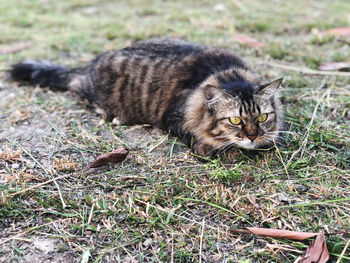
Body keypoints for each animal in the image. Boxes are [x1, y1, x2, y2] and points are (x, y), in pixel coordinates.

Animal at [8, 38, 284, 159]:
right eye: (235, 121)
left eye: (261, 117)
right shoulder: (174, 118)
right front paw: (209, 147)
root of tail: (89, 64)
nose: (253, 136)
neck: (225, 72)